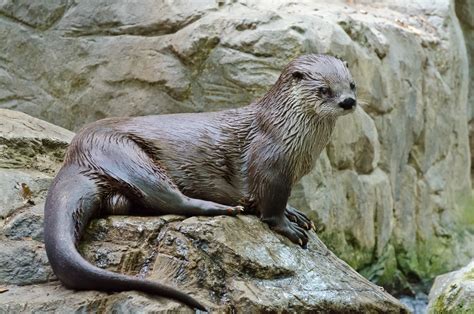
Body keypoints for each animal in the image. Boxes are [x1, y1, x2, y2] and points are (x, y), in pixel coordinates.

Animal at [44, 54, 358, 310]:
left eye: (352, 84)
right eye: (324, 89)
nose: (348, 101)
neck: (289, 132)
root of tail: (76, 157)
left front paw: (295, 213)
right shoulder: (270, 166)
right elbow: (271, 208)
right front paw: (289, 227)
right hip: (127, 157)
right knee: (170, 199)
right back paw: (223, 208)